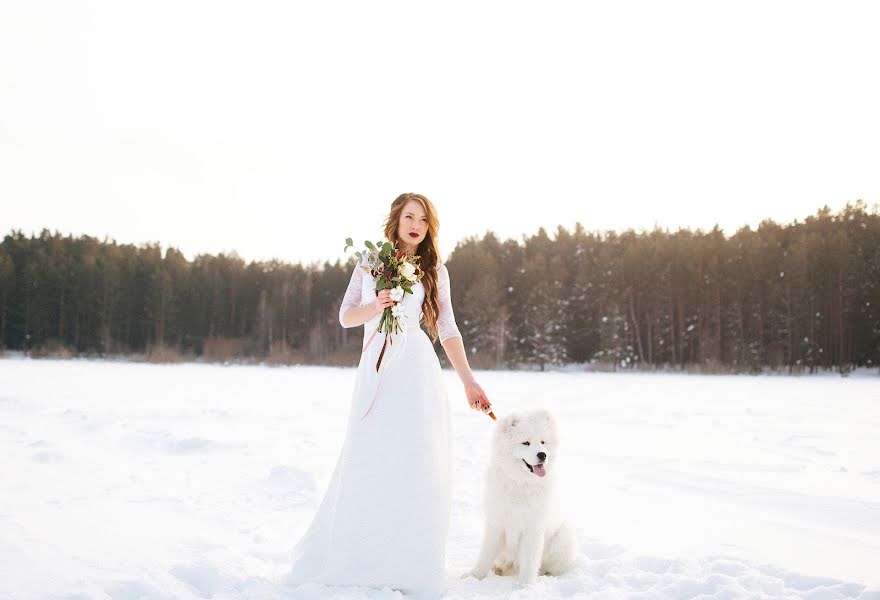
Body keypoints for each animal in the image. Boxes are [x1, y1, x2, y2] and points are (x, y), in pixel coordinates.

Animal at [464, 410, 580, 584]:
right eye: (526, 443)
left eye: (542, 442)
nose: (542, 455)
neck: (521, 482)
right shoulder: (496, 525)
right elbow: (485, 555)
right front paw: (474, 576)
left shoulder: (532, 529)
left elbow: (530, 562)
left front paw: (526, 585)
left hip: (562, 537)